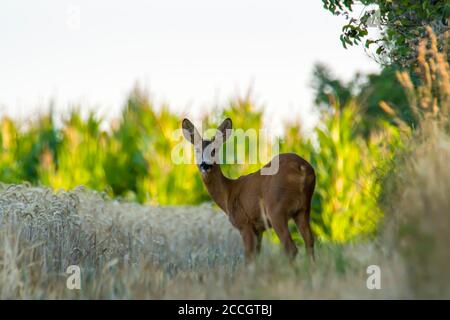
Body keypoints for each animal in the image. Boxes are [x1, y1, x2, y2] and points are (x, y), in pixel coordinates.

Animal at [181, 117, 314, 262]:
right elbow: (256, 256)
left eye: (214, 150)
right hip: (303, 209)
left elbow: (248, 258)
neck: (228, 193)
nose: (205, 165)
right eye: (197, 150)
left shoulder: (244, 223)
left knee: (291, 249)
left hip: (276, 209)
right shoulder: (259, 228)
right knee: (310, 242)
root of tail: (302, 168)